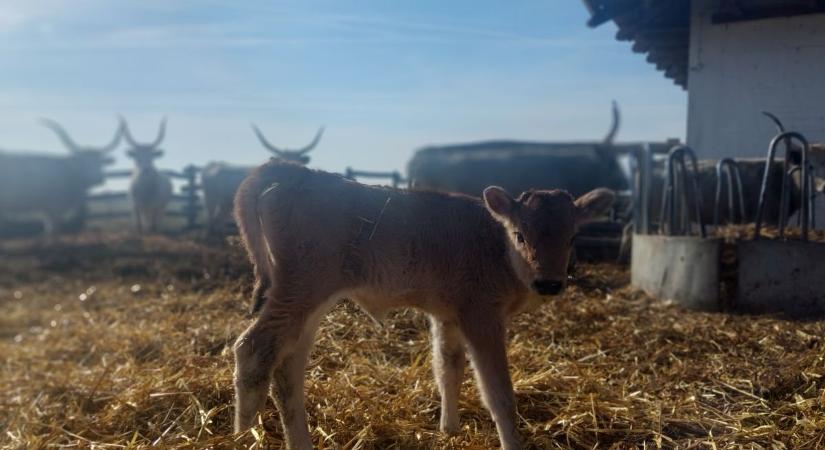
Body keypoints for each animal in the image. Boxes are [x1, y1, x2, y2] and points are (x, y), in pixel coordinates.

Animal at [230, 160, 612, 448]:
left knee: (287, 367)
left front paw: (449, 429)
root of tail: (286, 170)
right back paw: (242, 433)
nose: (548, 282)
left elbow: (448, 369)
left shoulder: (449, 316)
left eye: (572, 237)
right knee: (253, 348)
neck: (495, 246)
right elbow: (498, 392)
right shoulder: (482, 316)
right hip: (300, 290)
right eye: (520, 235)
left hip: (307, 303)